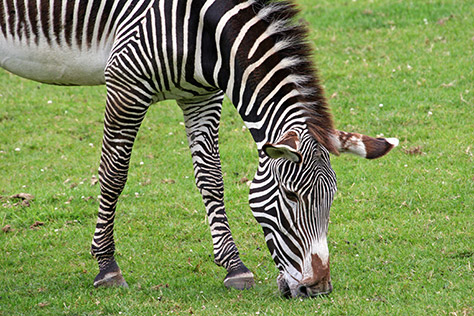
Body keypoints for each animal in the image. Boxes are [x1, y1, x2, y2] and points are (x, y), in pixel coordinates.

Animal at [1, 0, 398, 298]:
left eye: (331, 197)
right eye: (291, 195)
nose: (318, 289)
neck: (206, 33)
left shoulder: (203, 95)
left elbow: (210, 178)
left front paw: (235, 267)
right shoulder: (126, 83)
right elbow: (114, 173)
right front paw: (106, 266)